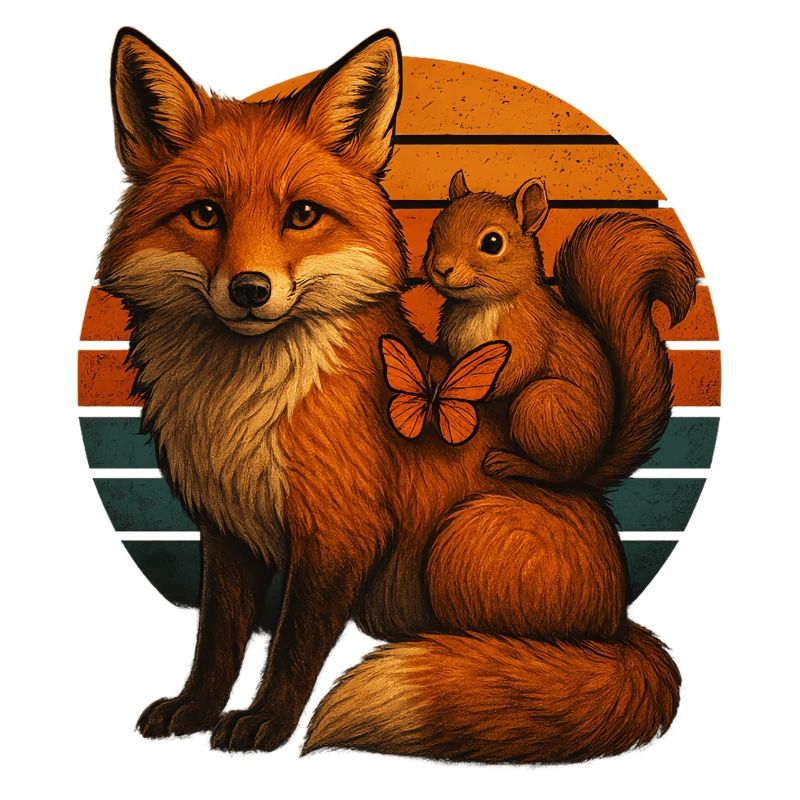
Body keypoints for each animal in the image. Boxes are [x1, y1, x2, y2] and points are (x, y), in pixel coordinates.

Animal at [424, 170, 698, 485]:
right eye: (433, 232)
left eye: (492, 243)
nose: (441, 268)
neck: (477, 306)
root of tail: (589, 466)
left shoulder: (530, 333)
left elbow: (518, 370)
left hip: (543, 403)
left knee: (559, 473)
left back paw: (513, 464)